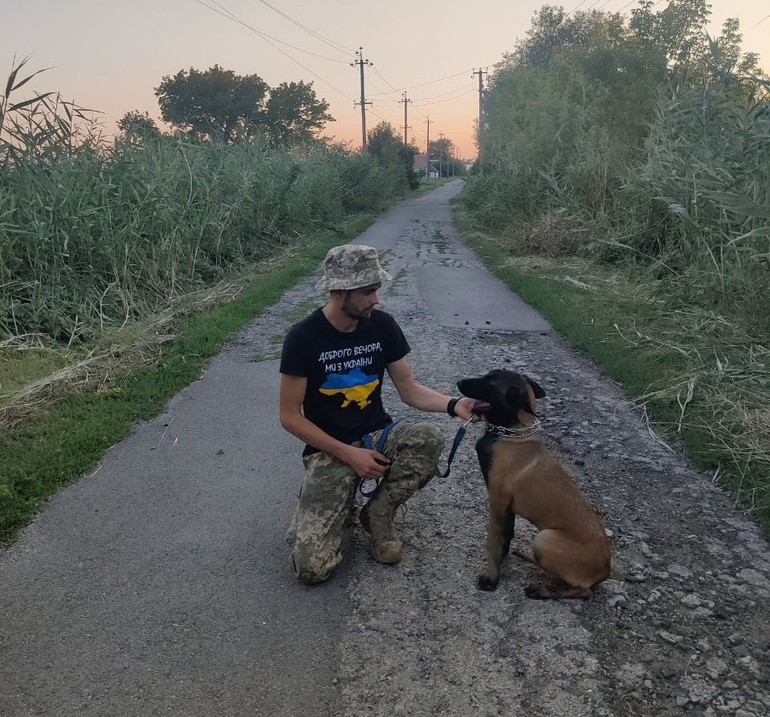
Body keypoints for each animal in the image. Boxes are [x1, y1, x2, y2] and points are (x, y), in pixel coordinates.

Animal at [452, 370, 608, 600]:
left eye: (490, 381)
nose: (460, 382)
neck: (510, 433)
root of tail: (606, 570)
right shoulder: (508, 507)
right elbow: (506, 536)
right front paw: (502, 562)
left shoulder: (497, 501)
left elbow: (493, 541)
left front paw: (491, 578)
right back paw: (527, 555)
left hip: (545, 538)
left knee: (583, 590)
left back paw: (541, 590)